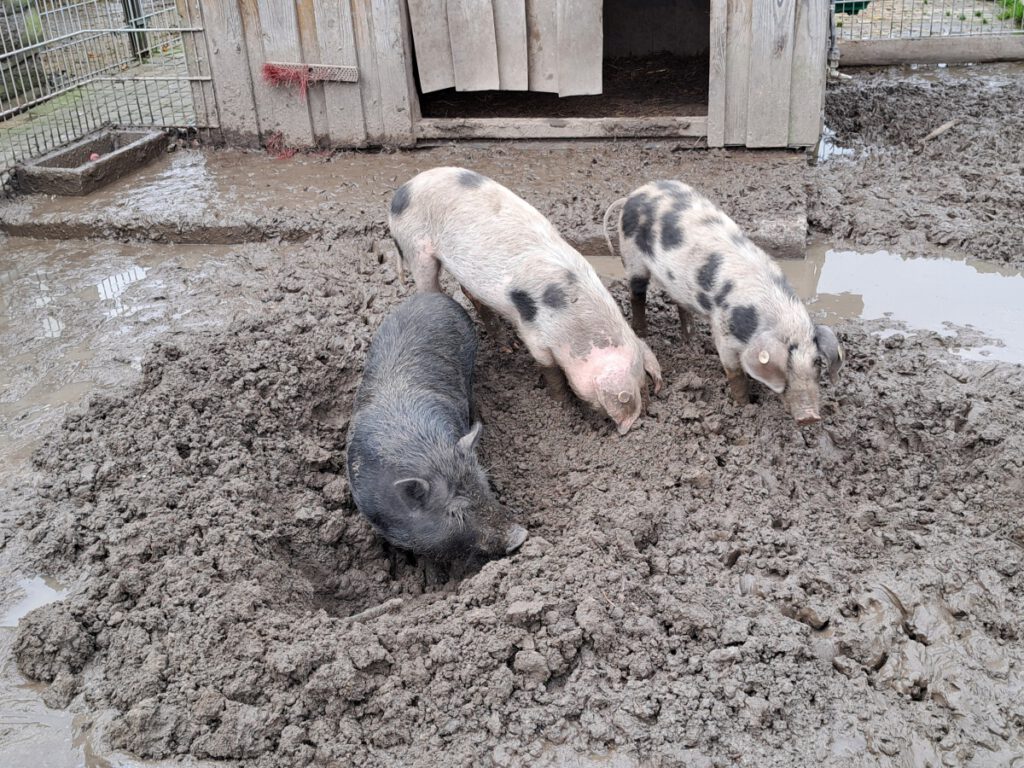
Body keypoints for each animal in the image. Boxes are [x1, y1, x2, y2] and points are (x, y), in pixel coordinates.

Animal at [385, 165, 663, 436]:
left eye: (645, 385)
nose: (640, 422)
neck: (572, 323)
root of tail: (402, 191)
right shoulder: (536, 334)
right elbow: (550, 370)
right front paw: (562, 407)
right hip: (415, 248)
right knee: (427, 283)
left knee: (470, 292)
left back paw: (508, 347)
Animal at [602, 181, 843, 428]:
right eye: (786, 366)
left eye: (817, 363)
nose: (810, 417)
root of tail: (633, 195)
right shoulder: (723, 331)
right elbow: (735, 373)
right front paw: (744, 407)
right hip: (631, 255)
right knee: (637, 294)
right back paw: (643, 332)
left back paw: (691, 341)